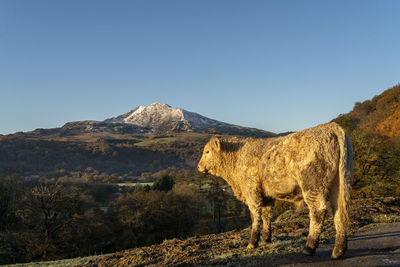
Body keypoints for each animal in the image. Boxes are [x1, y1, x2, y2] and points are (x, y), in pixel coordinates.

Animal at [198, 123, 354, 260]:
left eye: (207, 151)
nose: (199, 166)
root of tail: (331, 127)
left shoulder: (252, 192)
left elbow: (255, 217)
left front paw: (252, 243)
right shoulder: (267, 196)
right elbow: (267, 216)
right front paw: (266, 239)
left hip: (312, 183)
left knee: (318, 211)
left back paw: (309, 248)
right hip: (338, 183)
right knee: (340, 212)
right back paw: (338, 251)